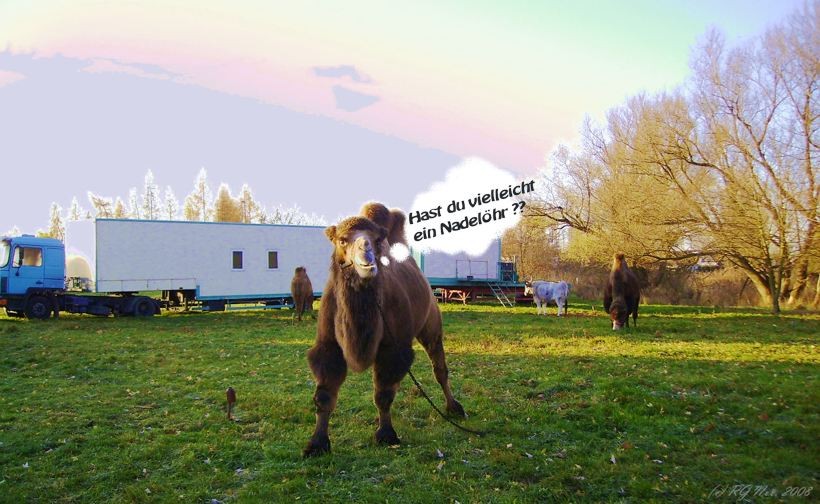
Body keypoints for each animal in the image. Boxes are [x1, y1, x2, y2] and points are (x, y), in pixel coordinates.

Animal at [303, 203, 465, 457]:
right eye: (342, 240)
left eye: (377, 240)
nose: (366, 255)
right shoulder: (328, 345)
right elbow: (325, 394)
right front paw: (317, 443)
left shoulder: (392, 348)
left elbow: (384, 393)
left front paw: (386, 434)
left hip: (431, 323)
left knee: (439, 367)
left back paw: (454, 407)